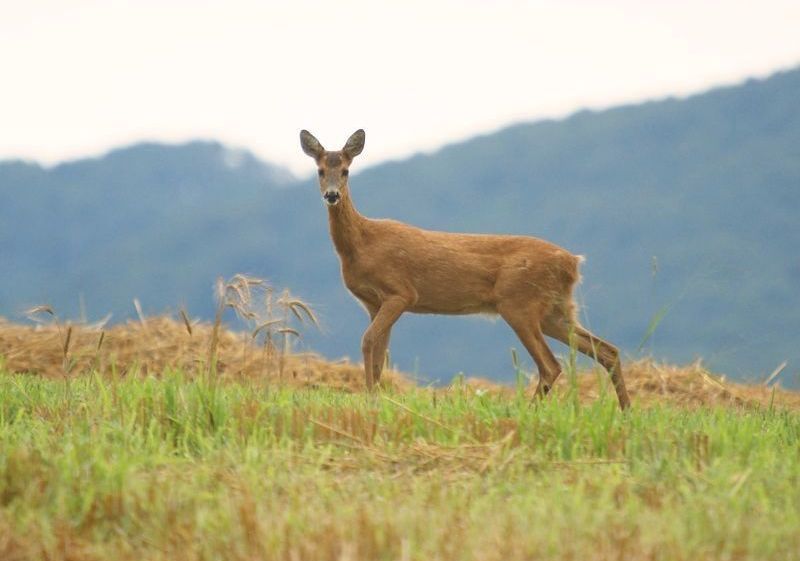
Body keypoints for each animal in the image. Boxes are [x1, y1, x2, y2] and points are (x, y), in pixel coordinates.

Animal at [300, 129, 632, 410]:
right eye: (320, 171)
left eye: (345, 170)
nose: (332, 195)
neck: (362, 244)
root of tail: (573, 262)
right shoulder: (373, 303)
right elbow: (380, 353)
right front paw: (376, 401)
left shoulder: (401, 293)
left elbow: (368, 341)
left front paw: (372, 401)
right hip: (555, 310)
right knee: (607, 350)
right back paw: (626, 410)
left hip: (519, 304)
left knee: (552, 365)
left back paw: (526, 413)